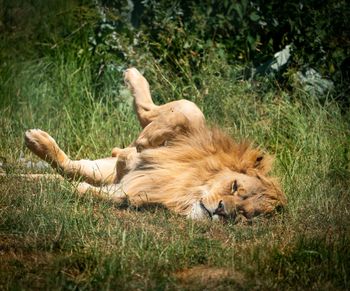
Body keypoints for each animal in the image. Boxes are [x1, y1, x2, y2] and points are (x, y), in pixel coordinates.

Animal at [25, 67, 288, 220]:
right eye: (234, 186)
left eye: (244, 214)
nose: (222, 211)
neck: (187, 186)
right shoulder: (188, 137)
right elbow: (188, 108)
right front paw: (146, 138)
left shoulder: (128, 187)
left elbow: (89, 188)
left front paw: (72, 189)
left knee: (71, 169)